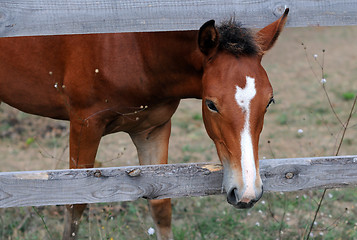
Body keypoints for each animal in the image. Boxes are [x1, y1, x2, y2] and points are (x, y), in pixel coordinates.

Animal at [0, 9, 288, 240]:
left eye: (269, 102)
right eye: (211, 104)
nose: (247, 192)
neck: (133, 46)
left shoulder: (152, 130)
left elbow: (161, 204)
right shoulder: (85, 125)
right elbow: (76, 203)